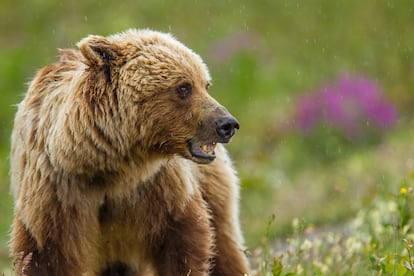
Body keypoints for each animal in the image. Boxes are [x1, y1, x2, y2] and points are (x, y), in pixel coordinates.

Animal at [8, 29, 249, 274]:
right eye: (184, 87)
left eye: (205, 84)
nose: (227, 124)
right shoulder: (58, 191)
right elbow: (47, 255)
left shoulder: (160, 189)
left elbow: (184, 244)